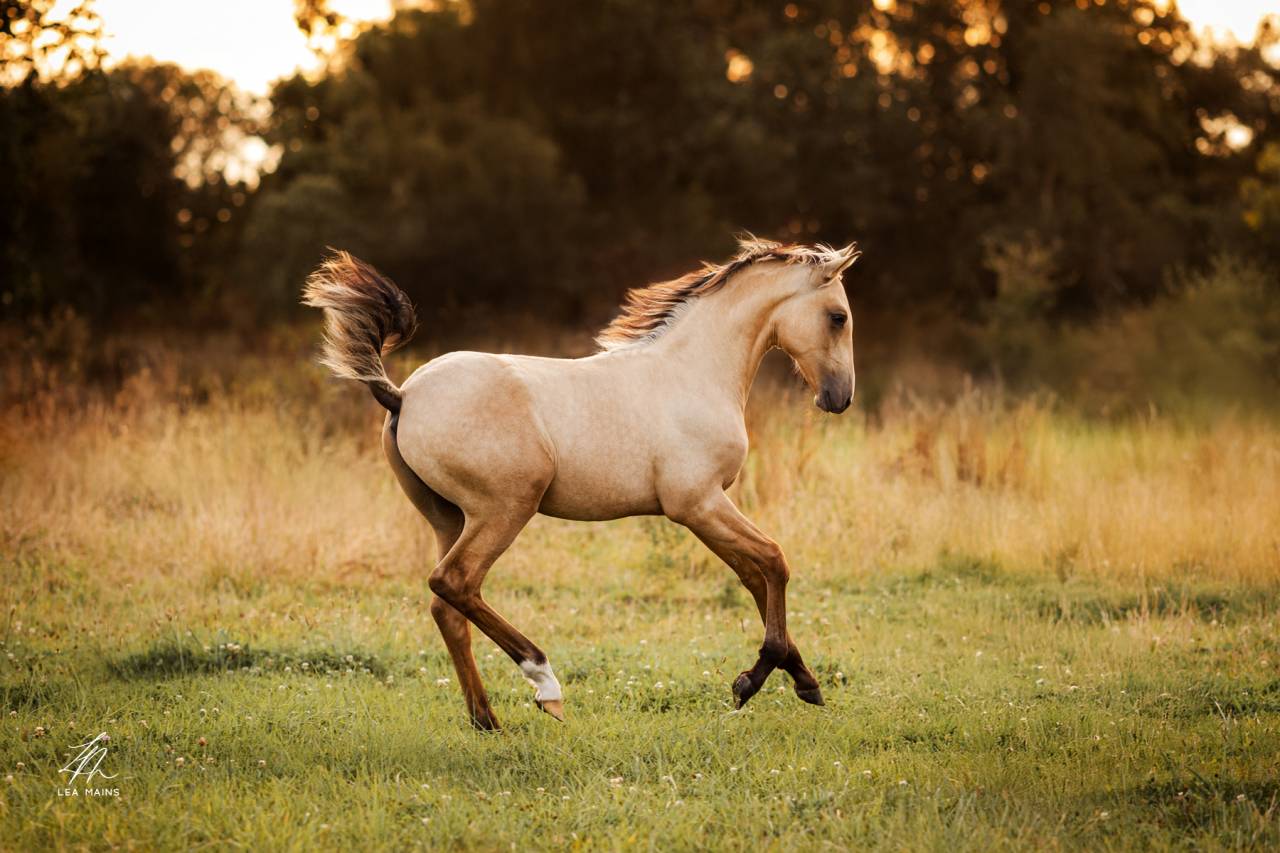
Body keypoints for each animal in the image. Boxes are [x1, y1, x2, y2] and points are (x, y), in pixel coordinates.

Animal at [302, 237, 859, 730]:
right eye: (839, 317)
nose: (839, 398)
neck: (692, 373)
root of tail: (402, 395)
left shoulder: (707, 508)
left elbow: (754, 577)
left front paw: (801, 681)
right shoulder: (697, 504)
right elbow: (774, 562)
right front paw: (755, 681)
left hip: (448, 518)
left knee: (447, 606)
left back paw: (487, 721)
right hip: (505, 508)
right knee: (454, 583)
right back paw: (545, 684)